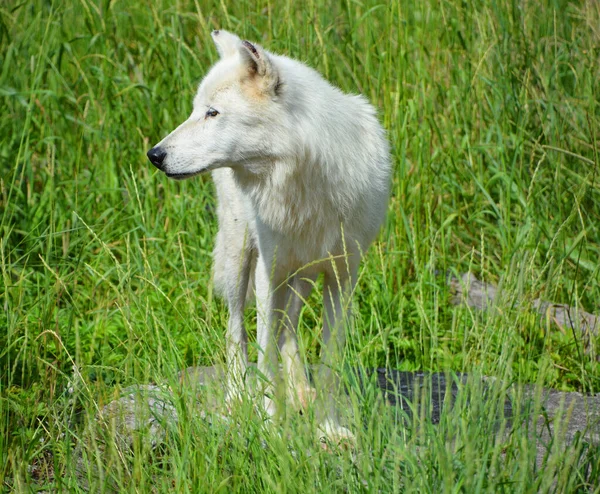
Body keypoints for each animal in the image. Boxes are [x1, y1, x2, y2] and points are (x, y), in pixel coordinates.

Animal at [149, 29, 392, 440]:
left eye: (212, 113)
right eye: (197, 110)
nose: (154, 155)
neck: (303, 181)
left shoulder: (342, 277)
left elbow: (328, 361)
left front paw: (328, 429)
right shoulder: (269, 272)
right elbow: (264, 354)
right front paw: (270, 425)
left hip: (302, 275)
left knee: (289, 327)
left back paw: (300, 393)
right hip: (239, 258)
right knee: (236, 329)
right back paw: (237, 397)